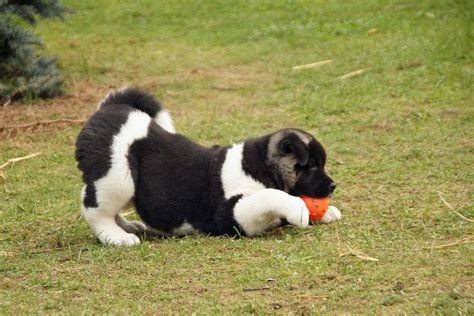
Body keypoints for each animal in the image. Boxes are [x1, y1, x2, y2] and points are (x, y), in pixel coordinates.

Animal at [75, 87, 340, 246]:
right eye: (312, 167)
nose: (333, 186)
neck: (260, 166)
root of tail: (110, 107)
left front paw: (326, 212)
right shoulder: (232, 214)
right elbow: (270, 196)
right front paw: (298, 208)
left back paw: (127, 226)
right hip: (118, 177)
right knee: (93, 206)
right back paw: (116, 236)